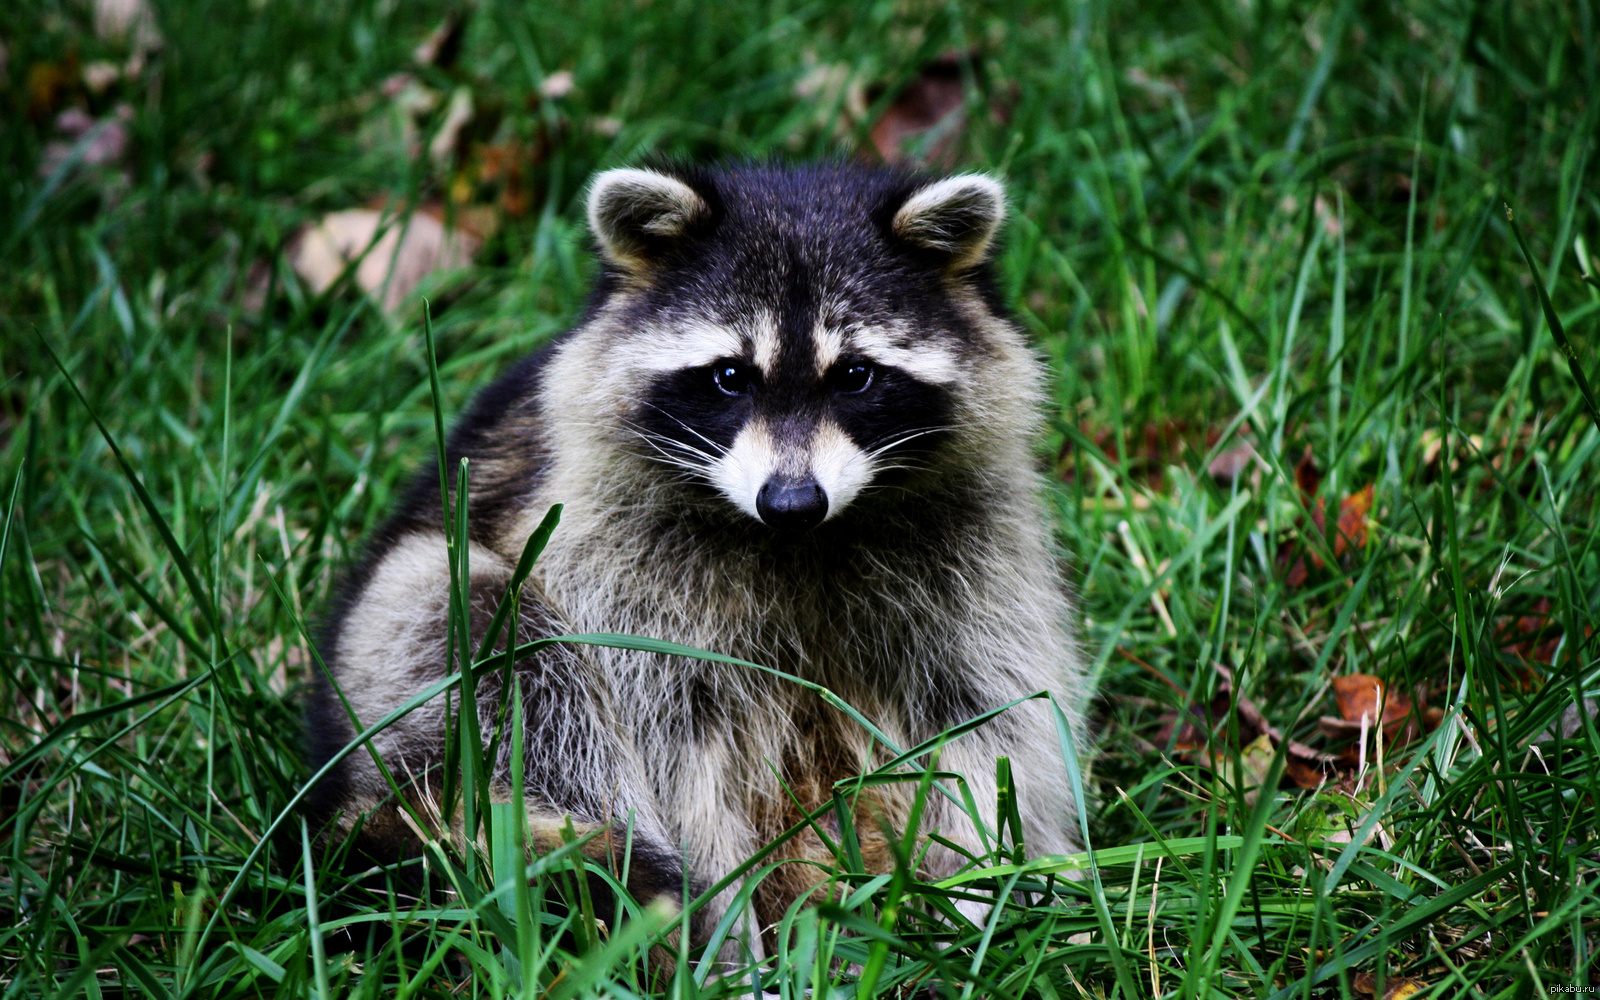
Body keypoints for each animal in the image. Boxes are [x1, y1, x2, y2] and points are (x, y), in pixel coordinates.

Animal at [302, 164, 1088, 953]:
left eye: (856, 376)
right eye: (731, 376)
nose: (792, 501)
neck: (801, 542)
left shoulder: (975, 557)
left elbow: (990, 726)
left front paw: (983, 898)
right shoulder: (621, 568)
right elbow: (675, 759)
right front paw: (726, 942)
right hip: (396, 652)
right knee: (494, 634)